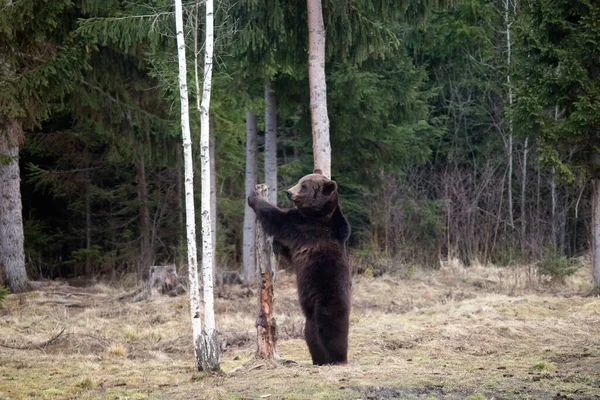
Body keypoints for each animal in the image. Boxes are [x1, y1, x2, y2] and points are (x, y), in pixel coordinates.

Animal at [247, 169, 352, 366]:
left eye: (304, 186)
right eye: (300, 181)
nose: (289, 192)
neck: (317, 214)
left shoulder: (304, 227)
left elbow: (277, 218)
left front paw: (254, 196)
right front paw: (277, 245)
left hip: (328, 296)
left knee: (331, 327)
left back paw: (337, 358)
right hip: (311, 316)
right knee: (310, 334)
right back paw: (319, 359)